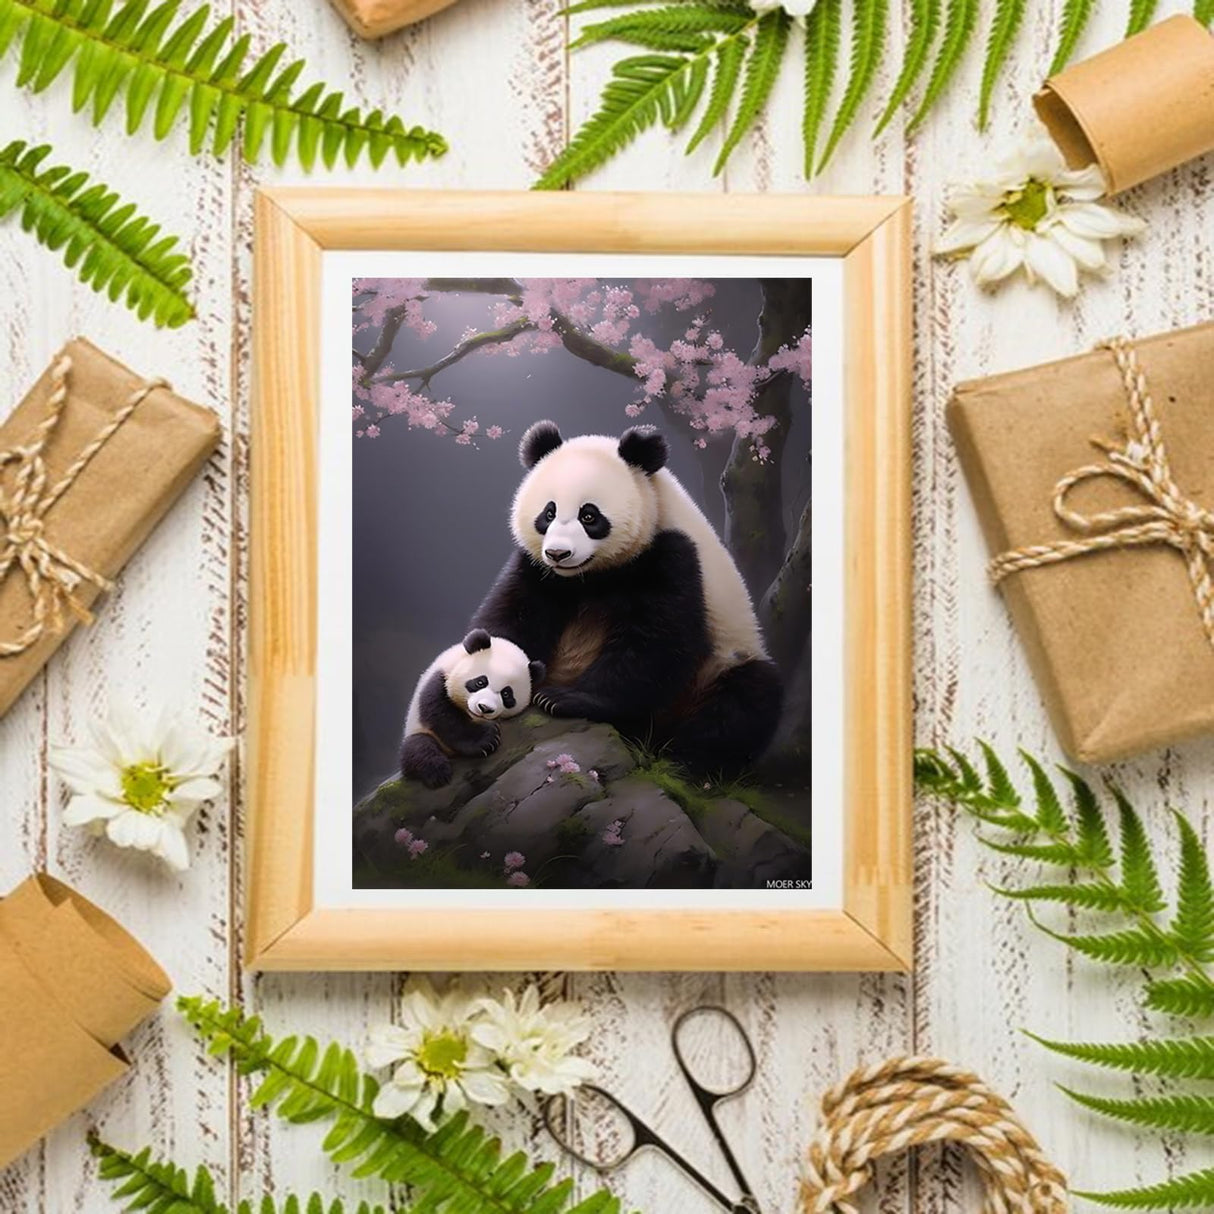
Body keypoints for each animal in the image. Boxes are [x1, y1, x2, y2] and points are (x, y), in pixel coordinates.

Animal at [400, 629, 545, 789]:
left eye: (506, 694)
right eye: (480, 682)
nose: (484, 708)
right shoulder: (440, 678)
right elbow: (441, 715)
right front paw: (486, 739)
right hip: (418, 730)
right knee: (418, 747)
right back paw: (436, 771)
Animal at [469, 421, 783, 778]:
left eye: (589, 516)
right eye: (548, 513)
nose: (558, 553)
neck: (591, 575)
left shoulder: (674, 557)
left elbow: (656, 642)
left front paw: (564, 699)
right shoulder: (537, 570)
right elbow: (513, 615)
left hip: (719, 664)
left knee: (744, 702)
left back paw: (683, 763)